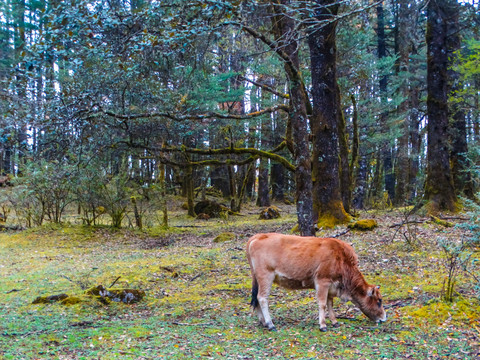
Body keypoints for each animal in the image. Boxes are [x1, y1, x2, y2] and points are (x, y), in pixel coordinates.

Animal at [248, 233, 386, 332]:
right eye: (379, 301)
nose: (384, 318)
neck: (341, 257)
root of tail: (257, 237)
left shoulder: (331, 286)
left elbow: (330, 303)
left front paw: (335, 322)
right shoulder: (322, 282)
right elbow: (322, 304)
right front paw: (323, 325)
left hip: (258, 279)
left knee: (256, 297)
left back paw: (263, 322)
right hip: (266, 276)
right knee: (262, 298)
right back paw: (270, 324)